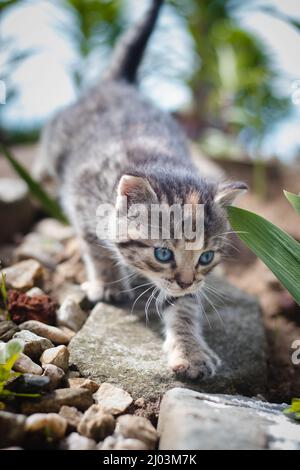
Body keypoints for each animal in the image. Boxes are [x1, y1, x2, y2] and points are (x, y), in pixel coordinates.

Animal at [36, 0, 246, 380]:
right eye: (163, 254)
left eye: (206, 257)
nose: (186, 281)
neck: (159, 161)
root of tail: (116, 84)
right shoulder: (82, 194)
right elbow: (96, 246)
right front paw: (108, 283)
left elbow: (184, 306)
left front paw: (191, 352)